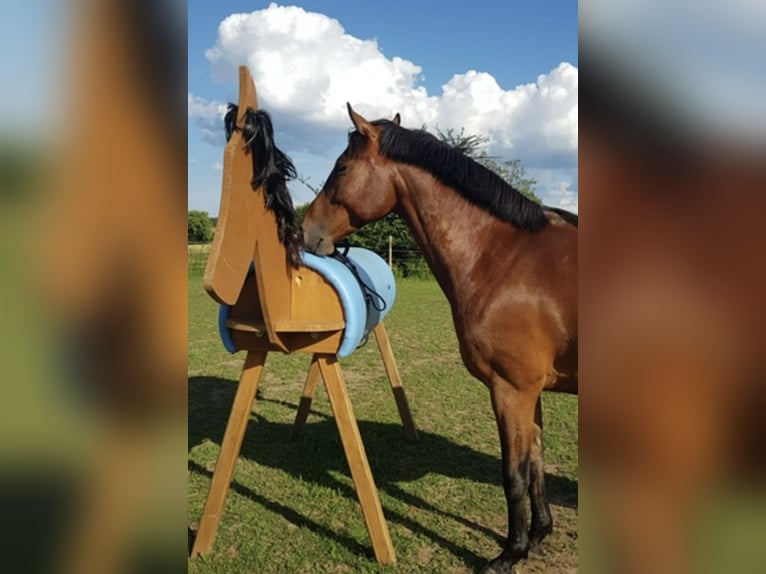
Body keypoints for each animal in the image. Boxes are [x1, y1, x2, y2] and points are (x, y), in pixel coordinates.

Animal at [302, 104, 578, 573]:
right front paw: (539, 536)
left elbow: (514, 475)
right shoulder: (532, 390)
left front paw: (509, 553)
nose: (304, 230)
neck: (500, 257)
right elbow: (536, 463)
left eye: (341, 167)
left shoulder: (511, 390)